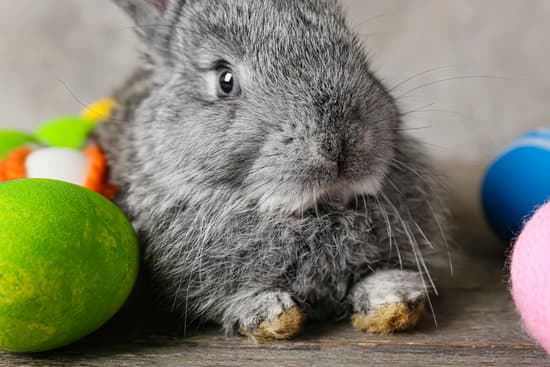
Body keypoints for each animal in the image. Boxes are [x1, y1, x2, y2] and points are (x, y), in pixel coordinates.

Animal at [98, 0, 452, 340]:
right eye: (225, 80)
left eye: (356, 53)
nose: (338, 141)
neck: (317, 210)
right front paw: (270, 316)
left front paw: (395, 300)